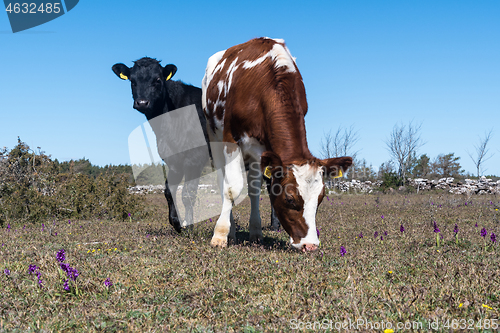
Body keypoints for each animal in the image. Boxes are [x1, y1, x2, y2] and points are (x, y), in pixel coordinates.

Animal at [112, 57, 211, 232]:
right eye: (132, 81)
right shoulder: (173, 159)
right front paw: (176, 222)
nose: (142, 102)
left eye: (157, 79)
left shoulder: (195, 157)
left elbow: (188, 193)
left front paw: (189, 225)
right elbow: (169, 191)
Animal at [202, 37, 352, 250]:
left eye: (321, 198)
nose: (310, 245)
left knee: (253, 189)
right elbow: (231, 188)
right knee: (223, 180)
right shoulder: (231, 139)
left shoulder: (265, 150)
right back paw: (229, 231)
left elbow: (255, 190)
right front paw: (220, 235)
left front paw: (255, 234)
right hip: (214, 135)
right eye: (289, 198)